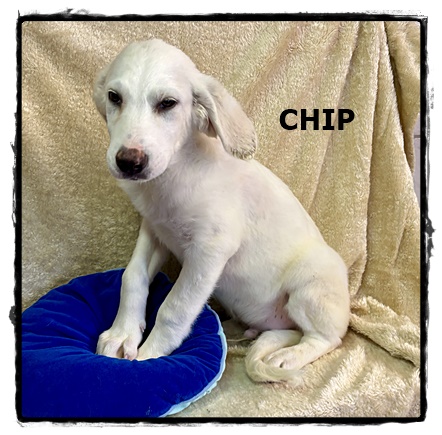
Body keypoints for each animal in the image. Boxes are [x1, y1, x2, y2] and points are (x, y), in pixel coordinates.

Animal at [93, 39, 350, 384]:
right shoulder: (155, 231)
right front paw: (122, 334)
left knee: (326, 338)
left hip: (312, 283)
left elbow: (174, 308)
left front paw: (149, 358)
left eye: (168, 103)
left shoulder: (210, 250)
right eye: (114, 97)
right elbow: (132, 276)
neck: (175, 175)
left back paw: (288, 357)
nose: (129, 162)